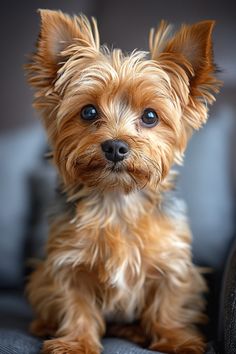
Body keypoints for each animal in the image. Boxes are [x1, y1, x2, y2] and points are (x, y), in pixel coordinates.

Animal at [26, 9, 221, 354]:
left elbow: (168, 303)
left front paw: (176, 339)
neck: (117, 199)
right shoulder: (68, 263)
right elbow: (76, 304)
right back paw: (43, 325)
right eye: (88, 112)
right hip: (39, 277)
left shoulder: (172, 262)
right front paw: (76, 342)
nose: (115, 146)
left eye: (150, 116)